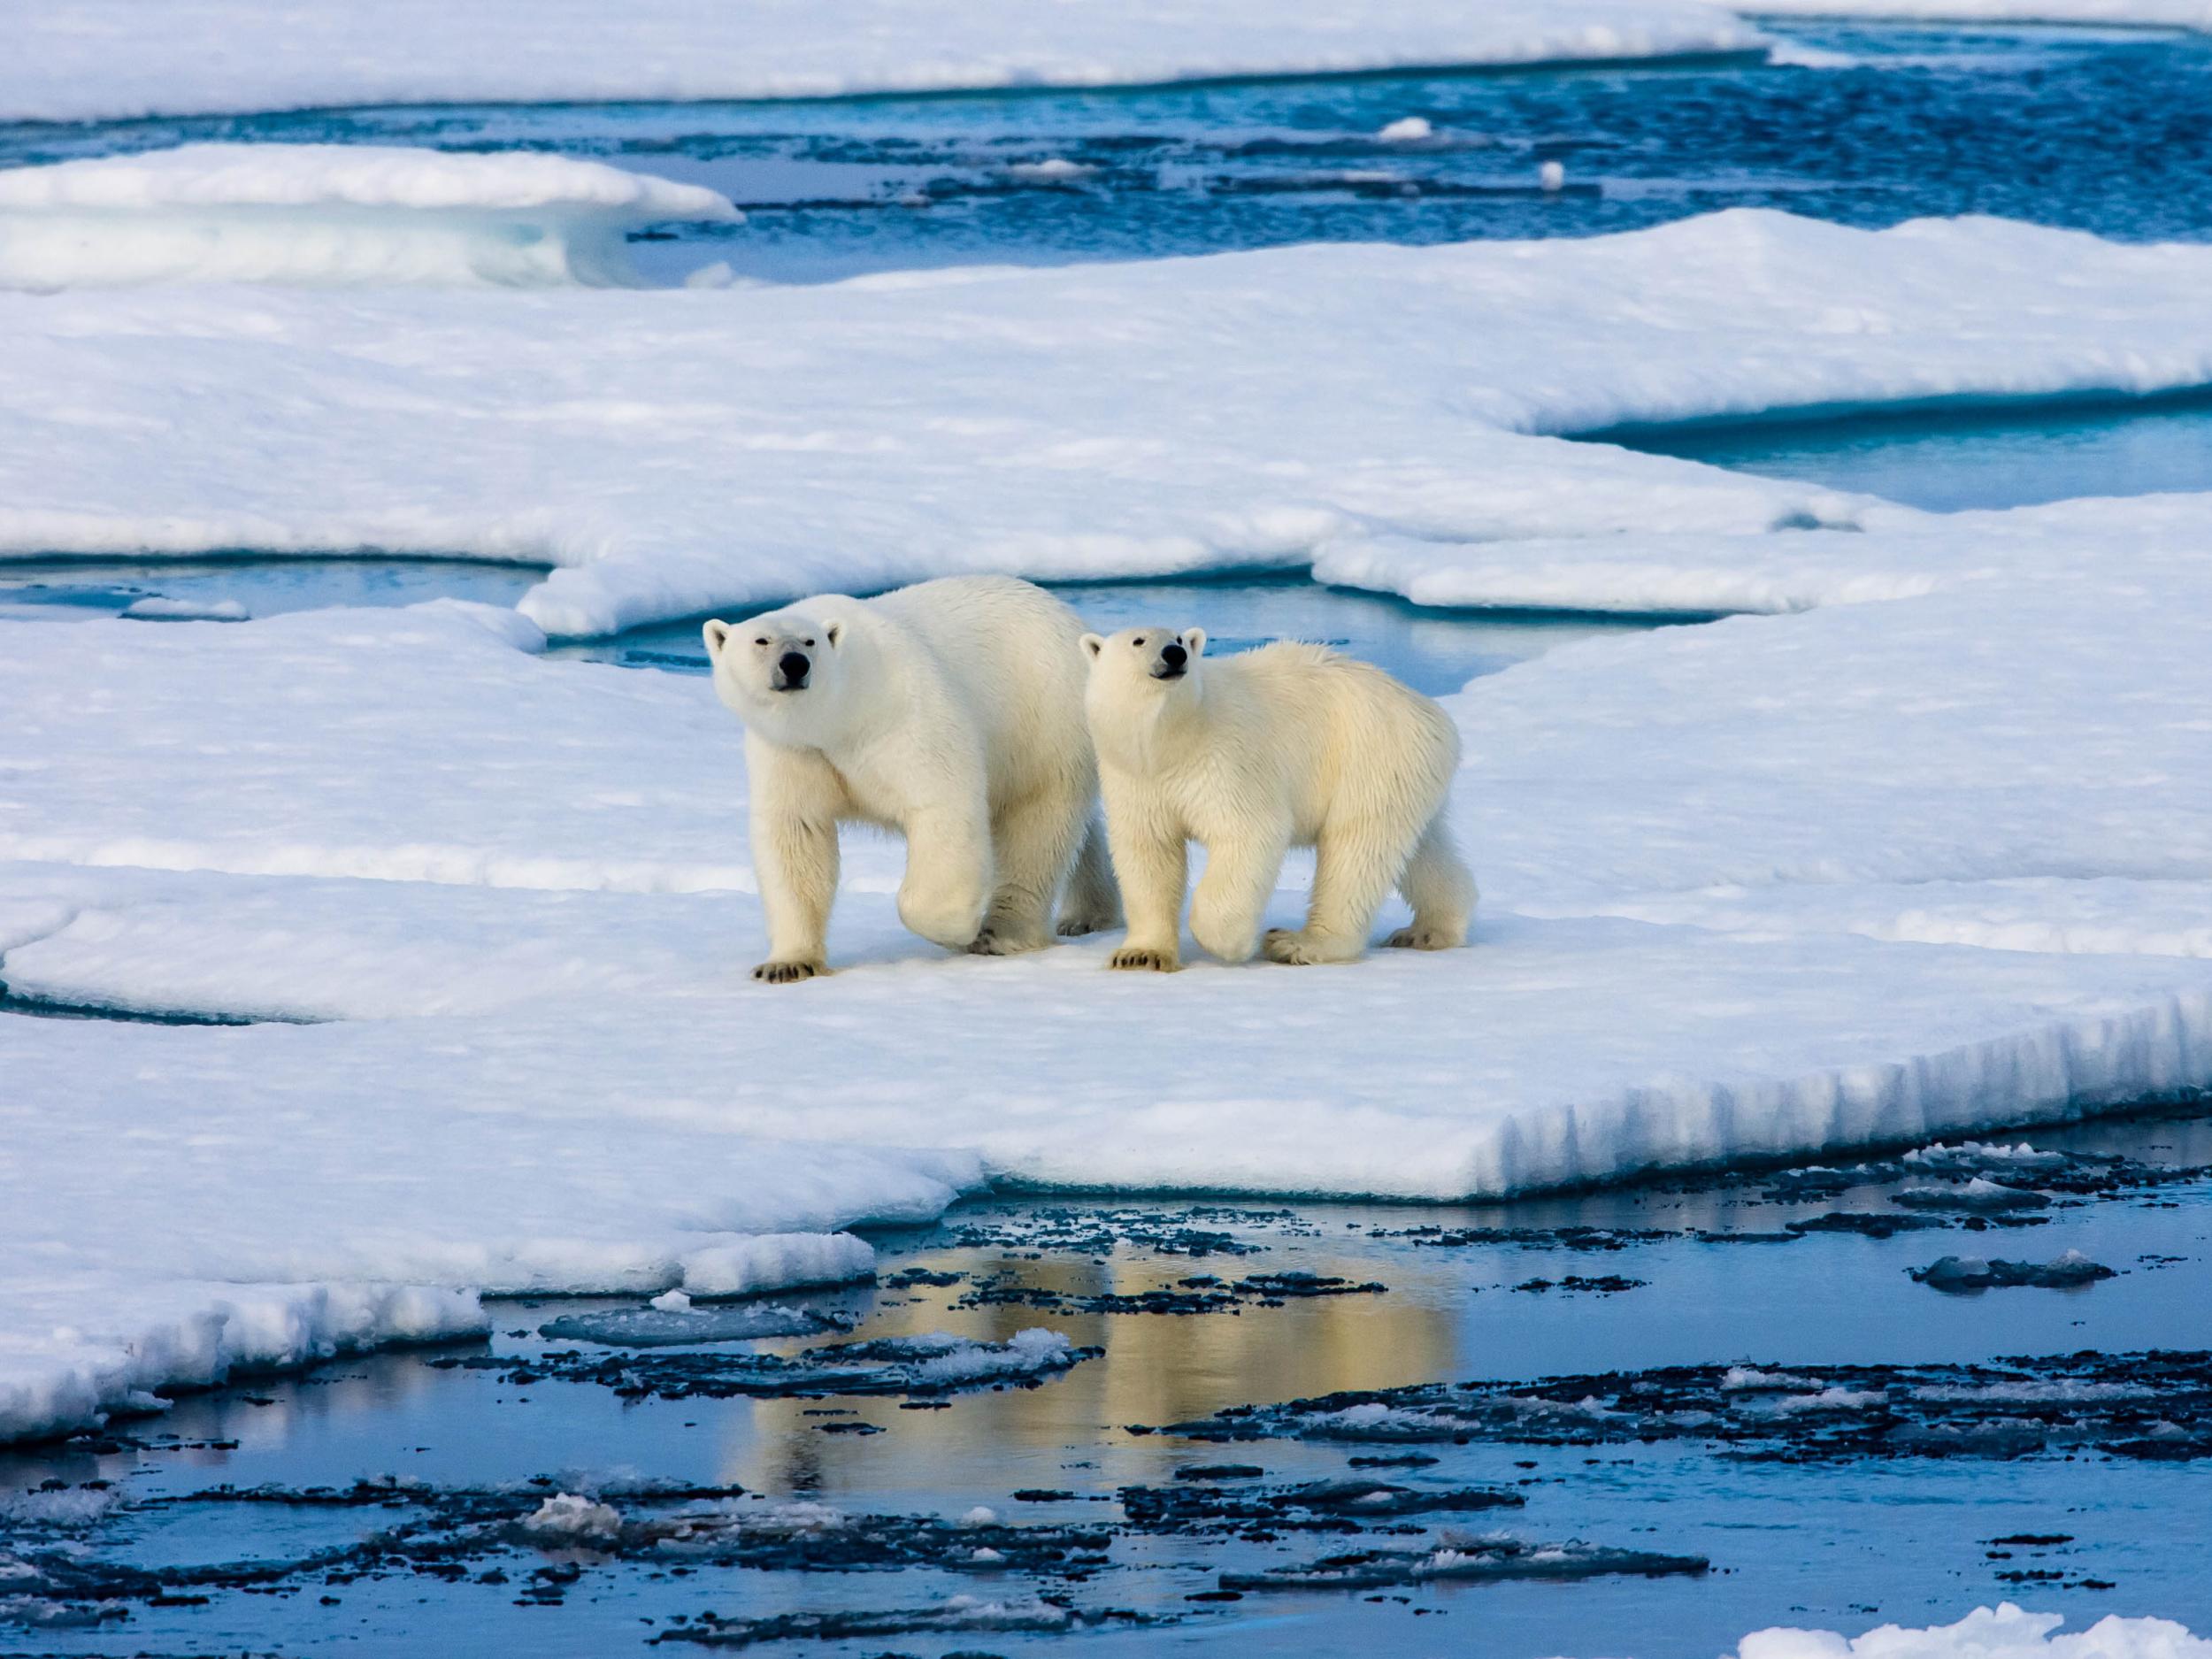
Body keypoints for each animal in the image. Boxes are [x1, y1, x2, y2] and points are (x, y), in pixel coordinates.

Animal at [708, 575, 1115, 982]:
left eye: (811, 641)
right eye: (761, 641)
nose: (794, 664)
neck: (842, 715)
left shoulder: (902, 714)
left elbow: (942, 804)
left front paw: (960, 931)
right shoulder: (794, 750)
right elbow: (796, 833)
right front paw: (787, 964)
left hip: (1042, 721)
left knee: (1035, 825)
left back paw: (1002, 933)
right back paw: (1087, 914)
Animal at [1084, 624, 1478, 969]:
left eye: (1179, 638)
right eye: (1138, 640)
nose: (1174, 654)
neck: (1170, 741)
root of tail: (1430, 712)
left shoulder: (1224, 760)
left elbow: (1250, 831)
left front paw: (1231, 944)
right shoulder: (1136, 778)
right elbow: (1148, 852)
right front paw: (1140, 955)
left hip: (1369, 757)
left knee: (1354, 851)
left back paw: (1298, 943)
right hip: (1408, 773)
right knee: (1421, 849)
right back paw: (1430, 930)